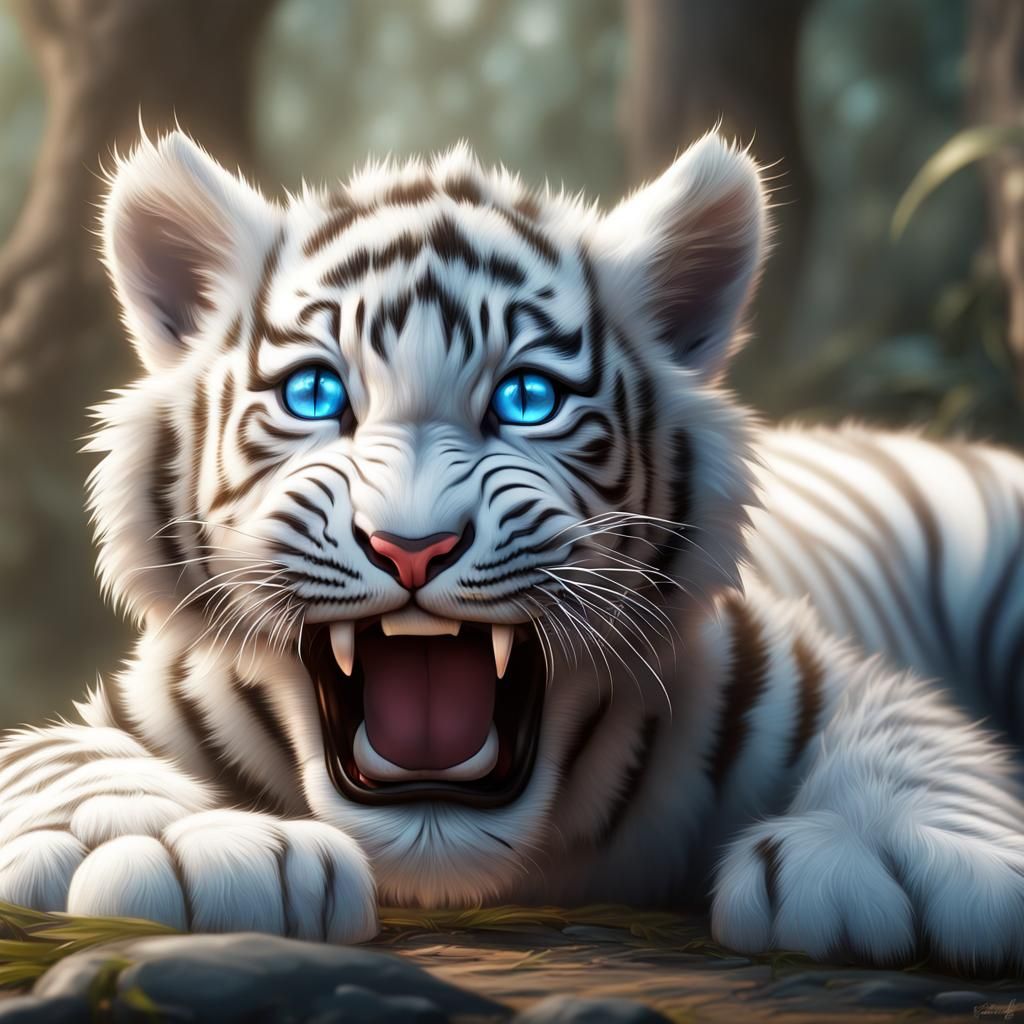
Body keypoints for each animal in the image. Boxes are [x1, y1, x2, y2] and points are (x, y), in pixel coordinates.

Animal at [1, 128, 1022, 973]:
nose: (412, 547)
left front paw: (884, 857)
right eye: (315, 395)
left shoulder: (826, 674)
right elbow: (59, 761)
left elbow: (919, 752)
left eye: (528, 399)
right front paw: (190, 848)